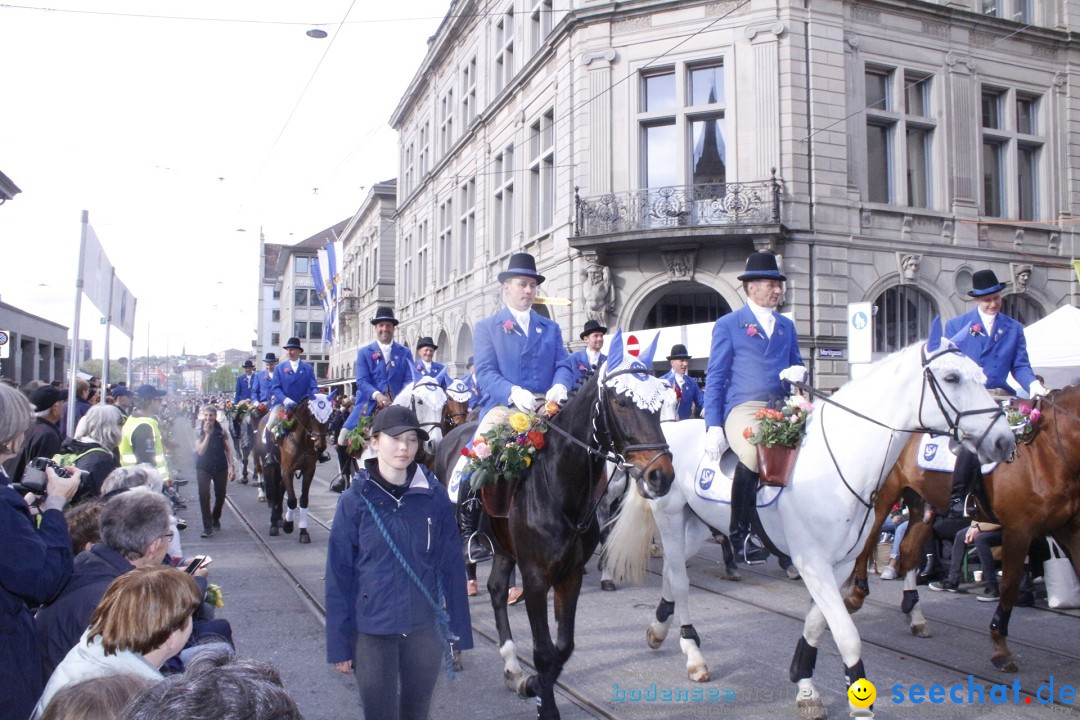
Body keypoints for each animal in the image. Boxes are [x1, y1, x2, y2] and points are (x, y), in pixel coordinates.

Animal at [251, 397, 330, 544]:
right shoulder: (288, 470)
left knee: (279, 489)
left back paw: (279, 518)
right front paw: (288, 525)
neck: (302, 441)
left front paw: (303, 532)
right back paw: (274, 523)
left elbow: (303, 500)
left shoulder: (309, 470)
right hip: (268, 465)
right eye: (312, 415)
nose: (321, 446)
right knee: (273, 489)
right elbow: (292, 500)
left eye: (330, 416)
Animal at [434, 334, 669, 720]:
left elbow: (563, 648)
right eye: (621, 401)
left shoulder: (568, 574)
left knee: (497, 590)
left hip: (503, 549)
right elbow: (544, 651)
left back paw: (512, 667)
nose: (661, 476)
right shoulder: (534, 577)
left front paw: (533, 685)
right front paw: (547, 706)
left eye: (660, 403)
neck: (559, 489)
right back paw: (454, 646)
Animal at [613, 330, 1015, 716]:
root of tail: (667, 436)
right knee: (680, 580)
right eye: (951, 377)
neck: (839, 462)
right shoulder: (813, 563)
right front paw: (856, 701)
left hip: (698, 526)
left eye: (981, 376)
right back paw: (693, 654)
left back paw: (658, 629)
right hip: (670, 518)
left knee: (672, 573)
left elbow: (817, 624)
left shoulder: (838, 565)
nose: (1004, 441)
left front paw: (803, 681)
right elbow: (847, 634)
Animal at [846, 386, 1080, 673]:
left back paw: (915, 615)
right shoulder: (1018, 530)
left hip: (923, 505)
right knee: (867, 540)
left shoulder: (1069, 530)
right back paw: (856, 595)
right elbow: (1009, 586)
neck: (1048, 451)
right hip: (884, 496)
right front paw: (1000, 649)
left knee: (909, 550)